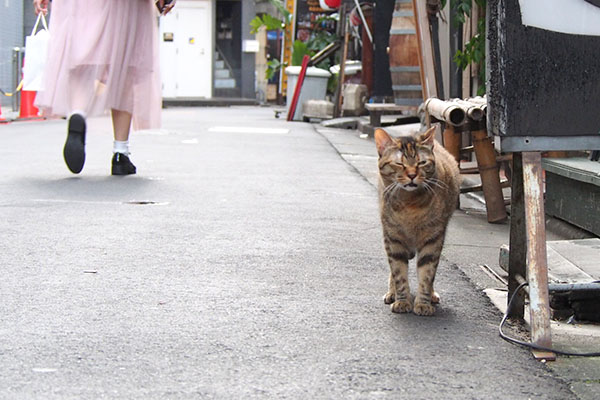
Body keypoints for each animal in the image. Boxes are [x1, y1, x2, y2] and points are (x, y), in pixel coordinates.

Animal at [376, 127, 460, 316]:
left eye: (421, 163)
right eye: (399, 164)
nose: (412, 175)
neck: (409, 205)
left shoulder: (433, 238)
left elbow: (427, 273)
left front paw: (423, 303)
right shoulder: (393, 238)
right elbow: (398, 272)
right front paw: (401, 300)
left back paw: (432, 295)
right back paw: (392, 293)